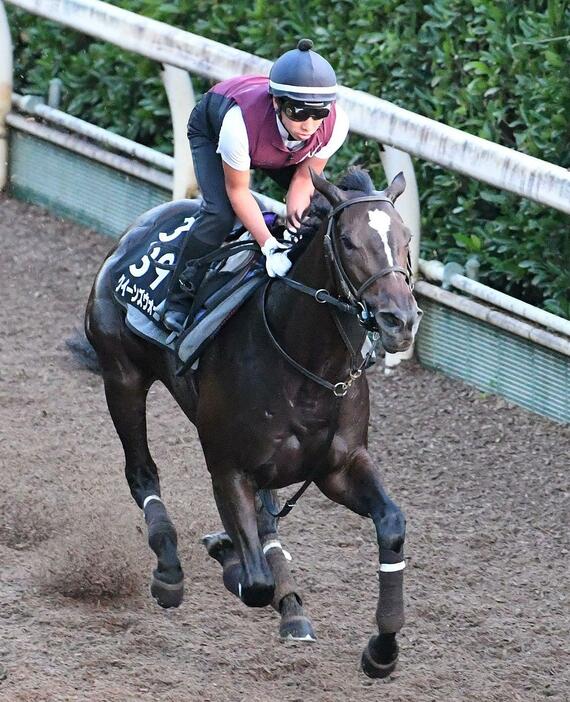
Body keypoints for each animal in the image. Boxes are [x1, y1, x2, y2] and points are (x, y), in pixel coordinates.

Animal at [84, 168, 422, 680]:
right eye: (347, 241)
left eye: (406, 239)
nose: (399, 320)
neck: (306, 361)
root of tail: (141, 225)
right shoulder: (229, 468)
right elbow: (256, 582)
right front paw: (228, 557)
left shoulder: (339, 467)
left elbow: (392, 524)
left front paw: (382, 650)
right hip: (121, 375)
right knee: (141, 472)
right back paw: (170, 571)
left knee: (267, 521)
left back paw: (291, 607)